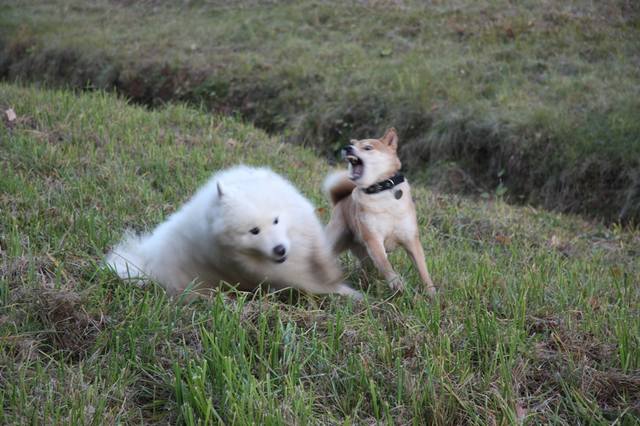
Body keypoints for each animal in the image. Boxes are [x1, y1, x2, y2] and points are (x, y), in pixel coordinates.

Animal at [107, 165, 362, 298]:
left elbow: (321, 258)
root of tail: (145, 259)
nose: (279, 250)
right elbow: (318, 284)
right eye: (254, 231)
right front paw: (351, 294)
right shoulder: (277, 272)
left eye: (276, 220)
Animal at [322, 128, 438, 294]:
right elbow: (385, 264)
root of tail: (340, 201)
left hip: (365, 257)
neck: (381, 190)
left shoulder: (411, 240)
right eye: (353, 145)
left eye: (367, 148)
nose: (347, 147)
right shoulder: (374, 240)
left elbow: (423, 270)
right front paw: (396, 283)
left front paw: (431, 293)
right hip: (336, 240)